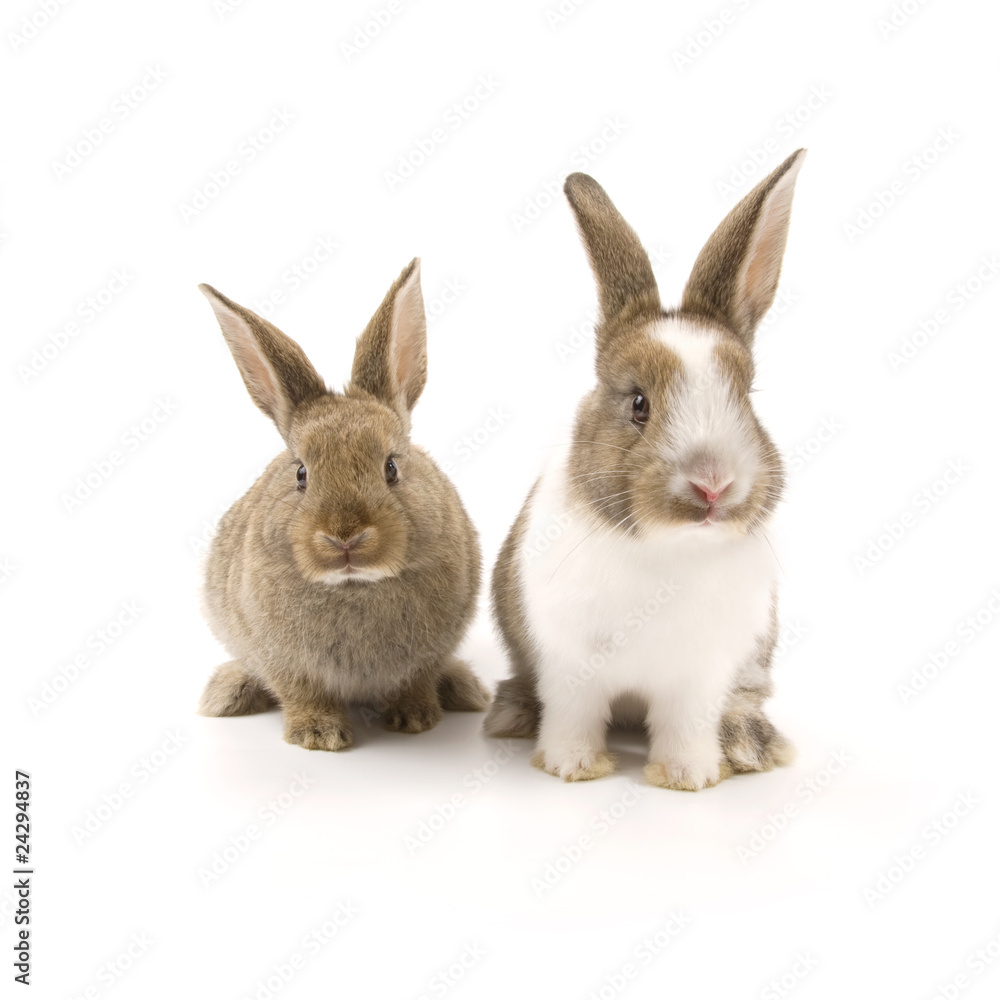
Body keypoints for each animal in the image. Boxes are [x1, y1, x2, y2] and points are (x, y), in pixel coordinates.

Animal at [196, 258, 490, 750]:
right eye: (300, 474)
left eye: (391, 467)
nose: (344, 536)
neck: (355, 584)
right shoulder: (283, 660)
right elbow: (300, 691)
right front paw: (319, 734)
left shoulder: (429, 653)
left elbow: (416, 681)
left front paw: (415, 719)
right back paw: (226, 695)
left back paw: (463, 689)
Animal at [484, 151, 806, 789]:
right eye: (638, 404)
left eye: (746, 397)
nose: (713, 485)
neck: (671, 547)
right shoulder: (568, 663)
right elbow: (573, 715)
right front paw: (572, 767)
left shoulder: (700, 675)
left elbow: (686, 724)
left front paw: (689, 777)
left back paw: (751, 747)